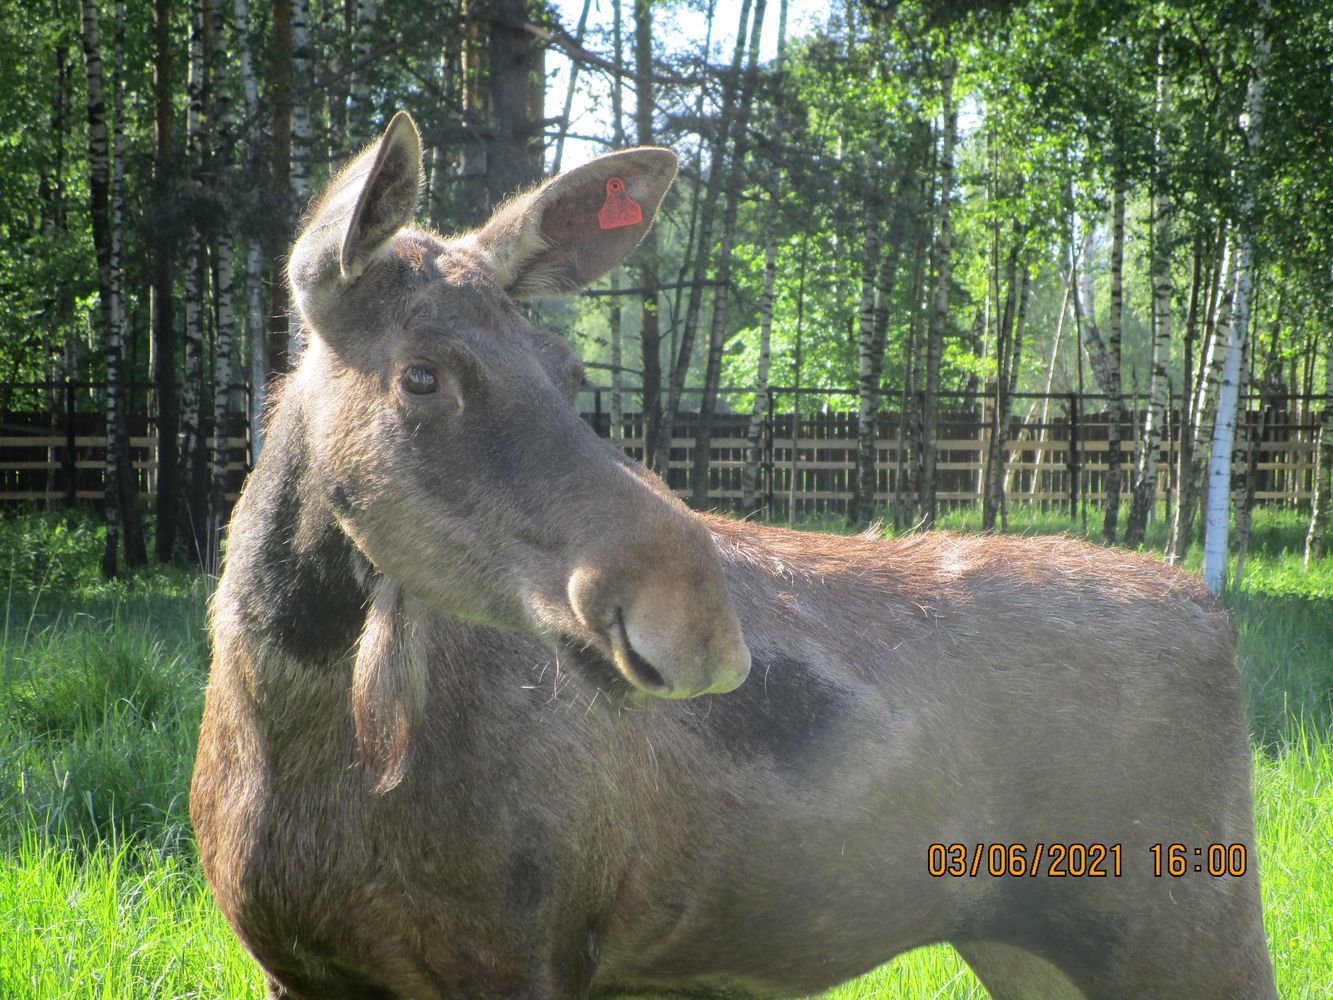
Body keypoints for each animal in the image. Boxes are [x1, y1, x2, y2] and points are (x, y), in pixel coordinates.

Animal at [193, 113, 1274, 997]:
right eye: (420, 376)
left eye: (569, 370)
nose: (698, 618)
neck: (290, 720)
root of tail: (1214, 613)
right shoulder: (296, 964)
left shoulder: (516, 952)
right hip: (1029, 942)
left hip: (1189, 921)